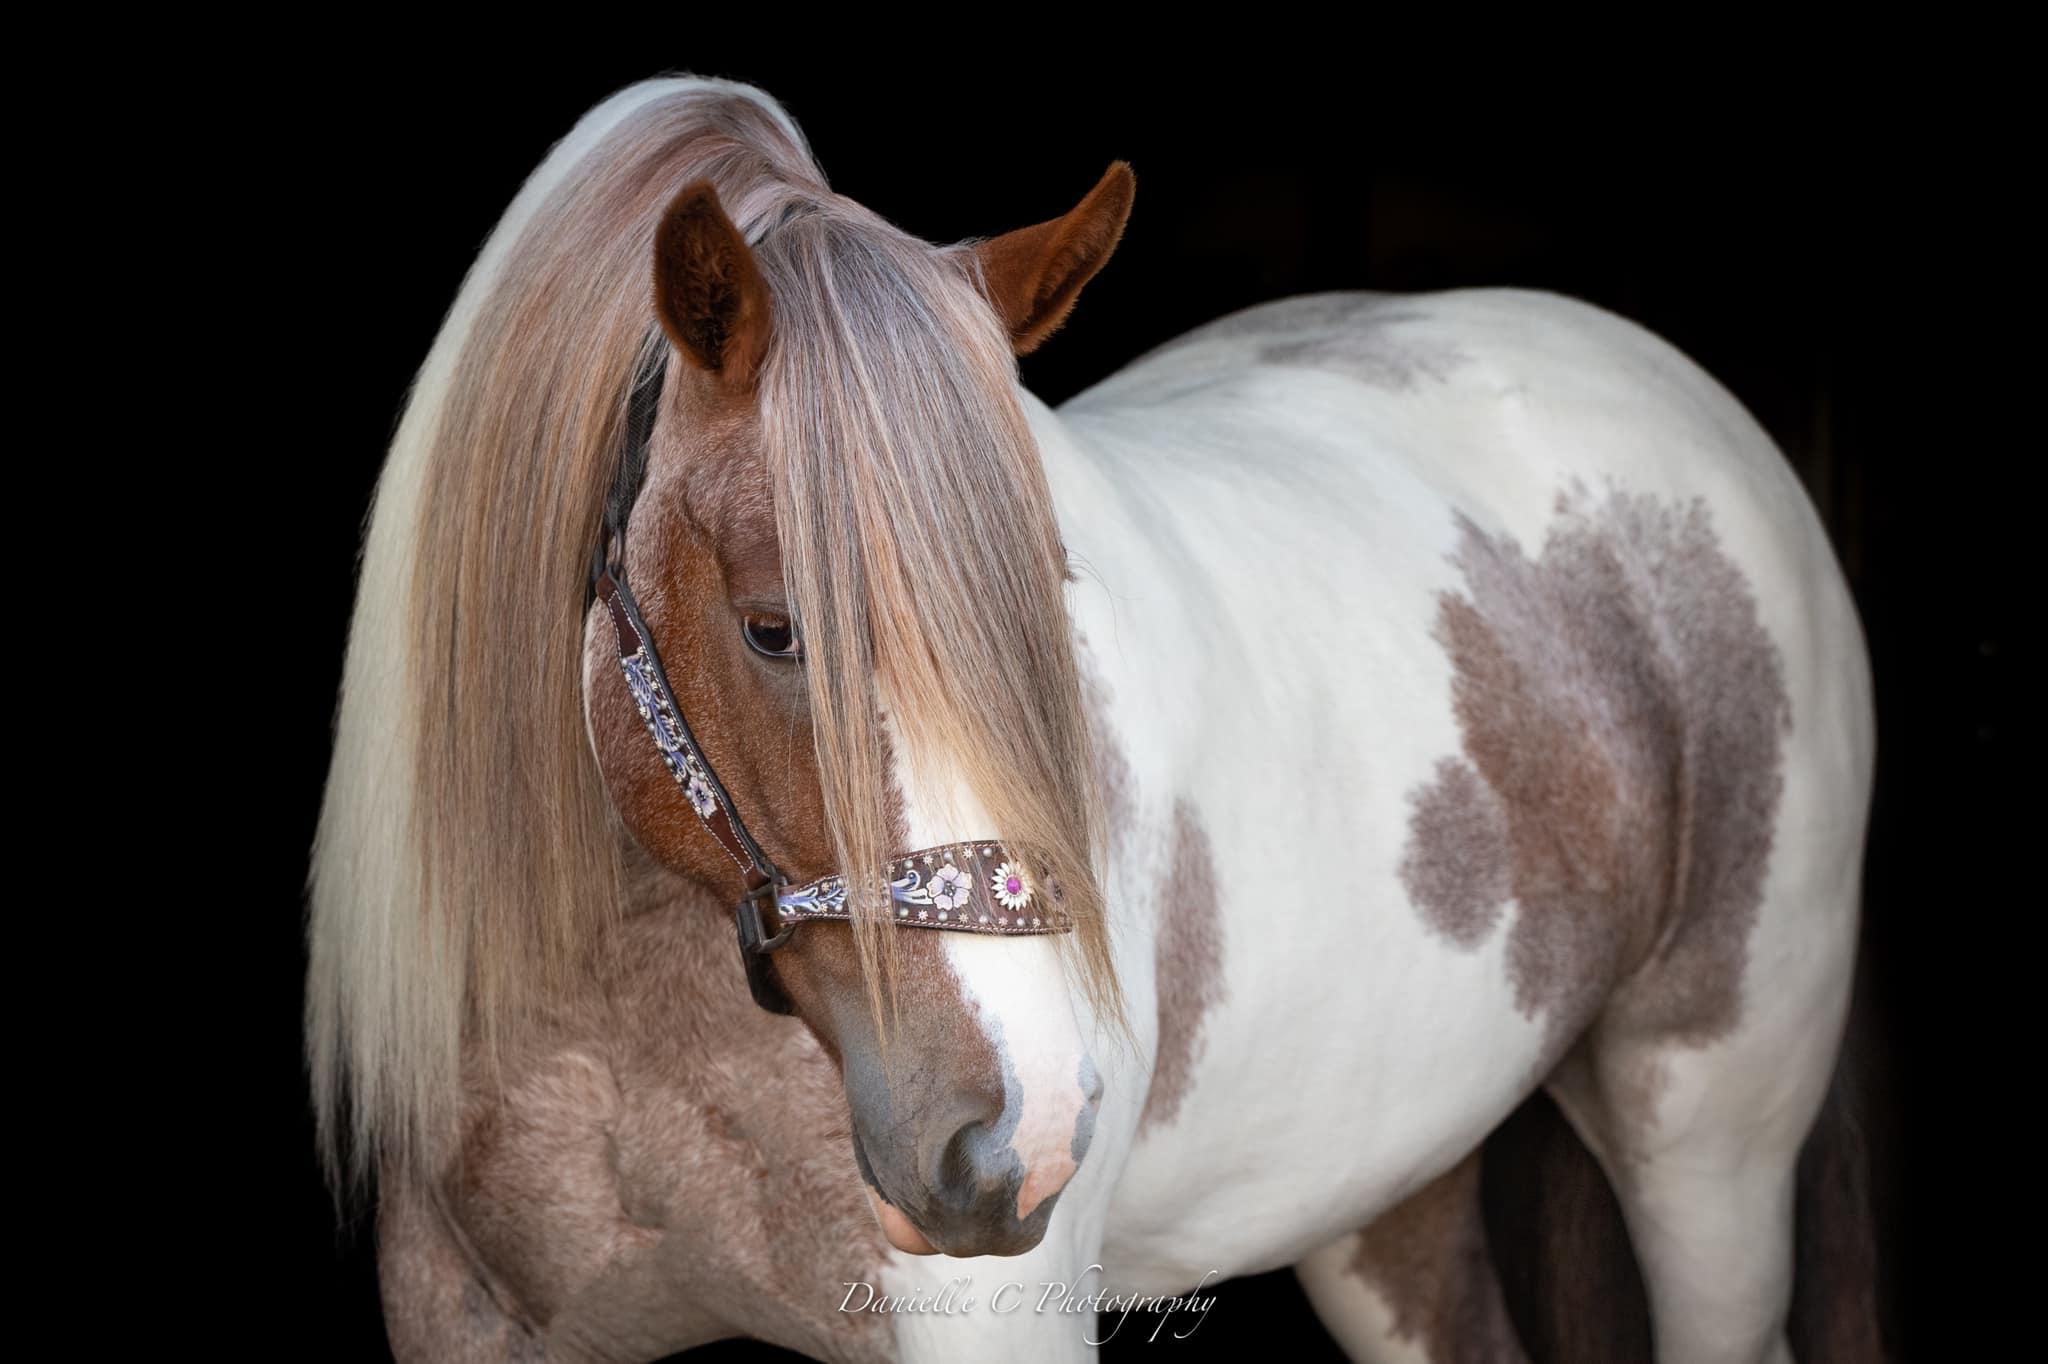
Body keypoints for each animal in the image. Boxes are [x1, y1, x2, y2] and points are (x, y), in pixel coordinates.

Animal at [299, 76, 1875, 1359]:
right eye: (772, 626)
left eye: (1044, 611)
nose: (1020, 1136)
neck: (635, 1019)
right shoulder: (459, 1317)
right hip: (1388, 1193)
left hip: (1712, 1141)